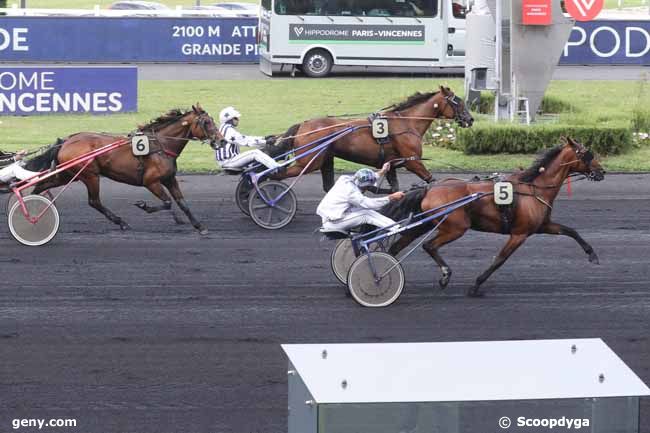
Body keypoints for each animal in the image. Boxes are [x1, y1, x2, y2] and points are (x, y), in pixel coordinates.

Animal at [25, 104, 224, 235]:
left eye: (212, 120)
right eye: (206, 122)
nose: (221, 141)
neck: (161, 145)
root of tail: (66, 141)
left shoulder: (169, 178)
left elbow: (182, 203)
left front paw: (199, 226)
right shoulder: (151, 181)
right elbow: (167, 202)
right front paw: (144, 205)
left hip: (67, 174)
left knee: (42, 185)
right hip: (90, 175)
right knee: (94, 201)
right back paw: (121, 222)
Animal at [268, 85, 470, 192]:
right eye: (458, 102)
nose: (470, 119)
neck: (407, 122)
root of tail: (302, 125)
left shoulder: (392, 163)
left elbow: (395, 187)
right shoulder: (412, 161)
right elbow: (430, 180)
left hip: (325, 159)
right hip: (309, 162)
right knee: (277, 174)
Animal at [382, 138, 604, 296]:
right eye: (587, 154)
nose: (601, 171)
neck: (535, 187)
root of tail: (430, 188)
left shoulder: (543, 225)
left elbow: (570, 231)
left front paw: (592, 254)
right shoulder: (519, 234)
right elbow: (500, 260)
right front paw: (476, 286)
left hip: (425, 224)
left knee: (396, 247)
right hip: (456, 227)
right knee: (429, 246)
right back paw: (444, 275)